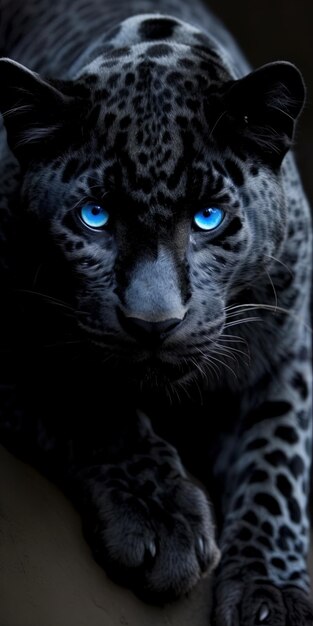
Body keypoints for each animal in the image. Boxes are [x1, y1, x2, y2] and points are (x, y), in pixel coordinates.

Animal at [0, 0, 312, 620]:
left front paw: (269, 592)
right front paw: (161, 521)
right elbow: (86, 400)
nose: (154, 324)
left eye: (209, 217)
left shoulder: (284, 354)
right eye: (94, 216)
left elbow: (277, 459)